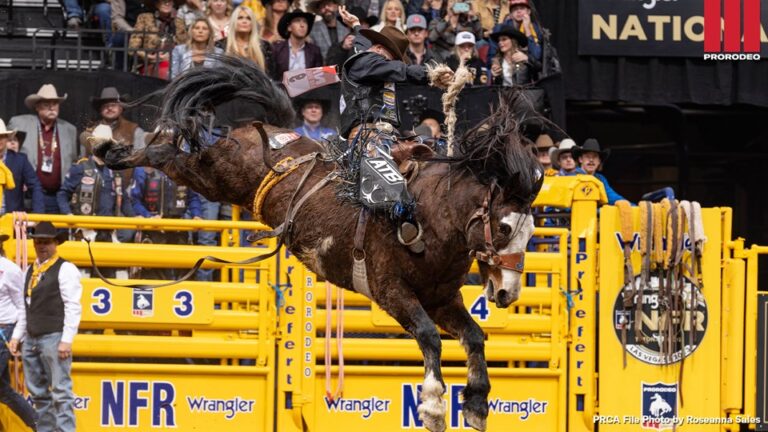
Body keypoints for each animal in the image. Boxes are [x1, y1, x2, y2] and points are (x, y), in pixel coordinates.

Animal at [95, 56, 542, 432]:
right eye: (504, 228)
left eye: (530, 233)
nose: (507, 293)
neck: (432, 217)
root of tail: (274, 130)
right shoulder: (390, 291)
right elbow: (429, 336)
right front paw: (432, 406)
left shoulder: (441, 299)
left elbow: (475, 337)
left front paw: (477, 404)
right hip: (212, 173)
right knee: (165, 154)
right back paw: (106, 146)